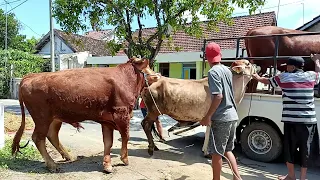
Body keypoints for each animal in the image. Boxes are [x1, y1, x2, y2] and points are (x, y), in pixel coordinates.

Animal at [11, 57, 159, 173]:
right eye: (148, 68)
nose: (157, 75)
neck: (125, 79)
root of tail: (31, 76)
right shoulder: (121, 114)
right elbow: (125, 136)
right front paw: (125, 159)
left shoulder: (107, 120)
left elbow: (108, 142)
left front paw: (107, 165)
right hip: (42, 117)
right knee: (38, 138)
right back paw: (52, 165)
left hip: (55, 118)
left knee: (52, 135)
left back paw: (69, 156)